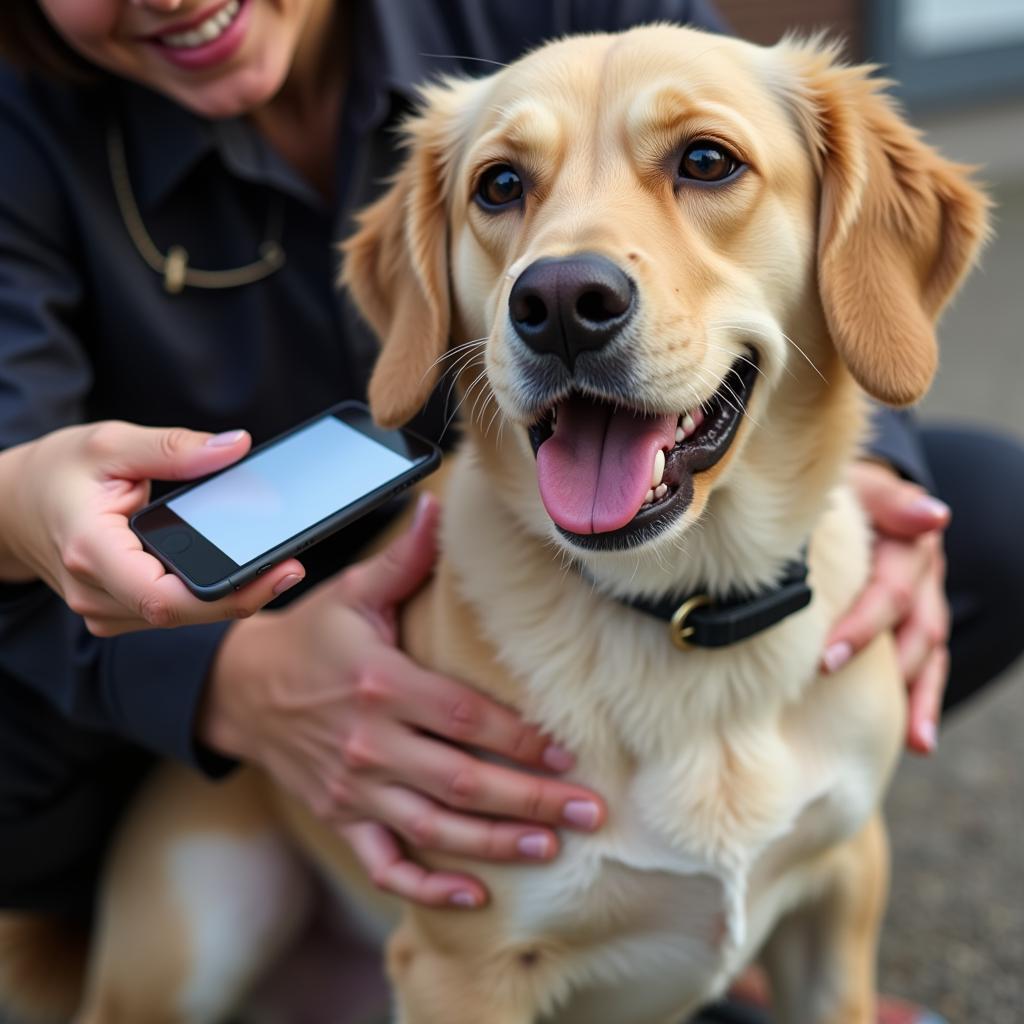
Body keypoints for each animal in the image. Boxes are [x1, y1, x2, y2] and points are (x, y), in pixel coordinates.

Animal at [0, 22, 991, 1024]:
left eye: (707, 161)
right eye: (501, 184)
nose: (559, 304)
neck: (681, 615)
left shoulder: (841, 891)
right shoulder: (461, 963)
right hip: (206, 927)